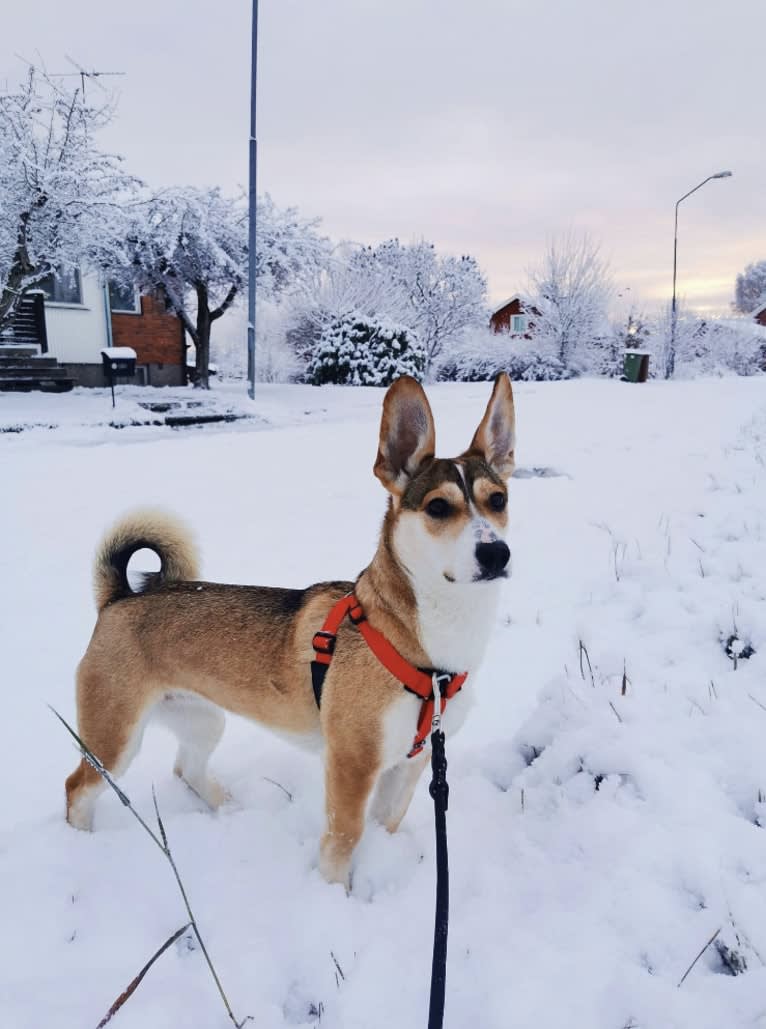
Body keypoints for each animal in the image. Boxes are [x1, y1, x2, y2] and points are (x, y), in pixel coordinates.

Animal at [67, 374, 514, 889]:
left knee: (186, 769)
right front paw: (334, 894)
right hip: (114, 736)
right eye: (439, 507)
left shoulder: (410, 762)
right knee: (78, 787)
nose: (496, 554)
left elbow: (385, 823)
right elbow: (344, 838)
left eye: (498, 500)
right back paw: (81, 843)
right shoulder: (352, 764)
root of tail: (119, 598)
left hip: (202, 717)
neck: (426, 646)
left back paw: (229, 809)